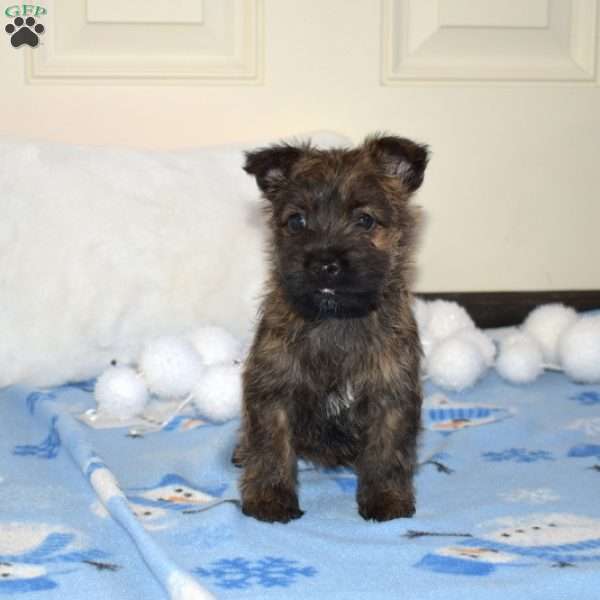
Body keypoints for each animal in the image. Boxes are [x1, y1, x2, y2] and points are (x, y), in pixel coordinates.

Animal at [233, 134, 426, 524]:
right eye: (296, 221)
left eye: (365, 220)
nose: (324, 263)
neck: (335, 319)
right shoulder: (271, 391)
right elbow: (270, 447)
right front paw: (269, 499)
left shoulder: (390, 395)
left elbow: (387, 451)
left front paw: (386, 499)